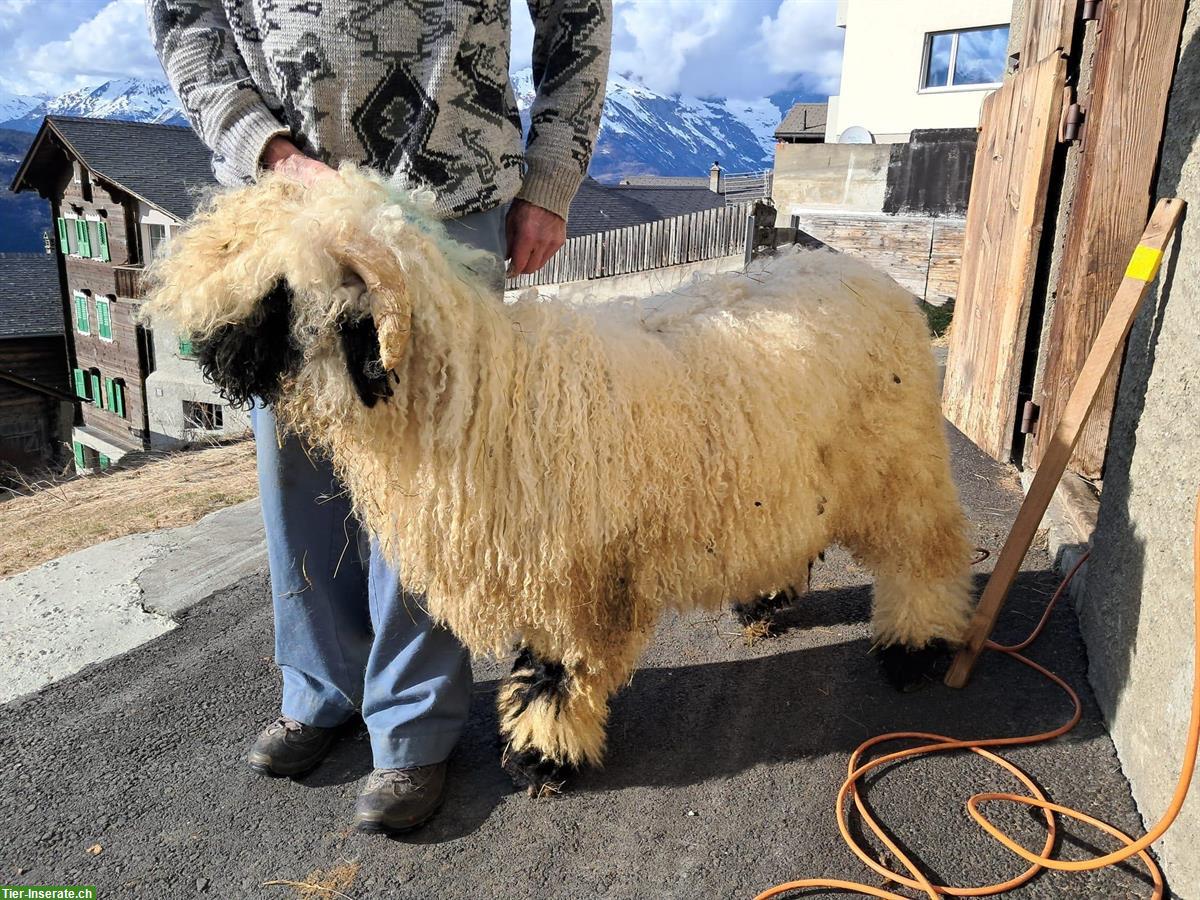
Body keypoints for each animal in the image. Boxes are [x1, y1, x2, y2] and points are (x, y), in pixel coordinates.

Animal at [145, 168, 979, 796]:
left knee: (927, 553)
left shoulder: (571, 577)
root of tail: (863, 272)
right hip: (780, 472)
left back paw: (915, 649)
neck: (478, 395)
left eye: (279, 291)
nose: (206, 353)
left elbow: (555, 672)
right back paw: (767, 601)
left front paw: (542, 758)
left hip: (899, 463)